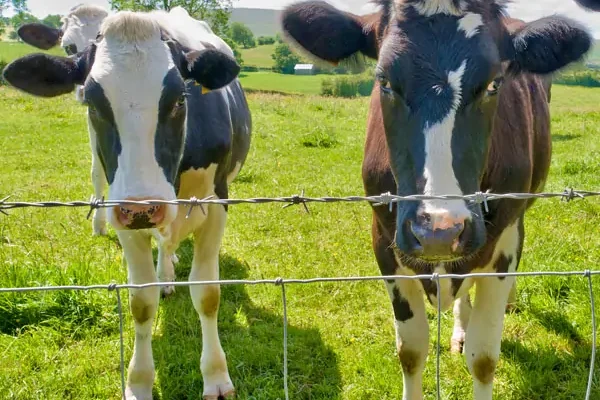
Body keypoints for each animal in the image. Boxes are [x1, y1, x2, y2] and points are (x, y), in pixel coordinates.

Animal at [4, 9, 251, 400]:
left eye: (180, 99)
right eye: (93, 103)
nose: (144, 206)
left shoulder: (216, 204)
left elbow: (208, 293)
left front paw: (215, 376)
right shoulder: (124, 215)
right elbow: (141, 302)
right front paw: (138, 381)